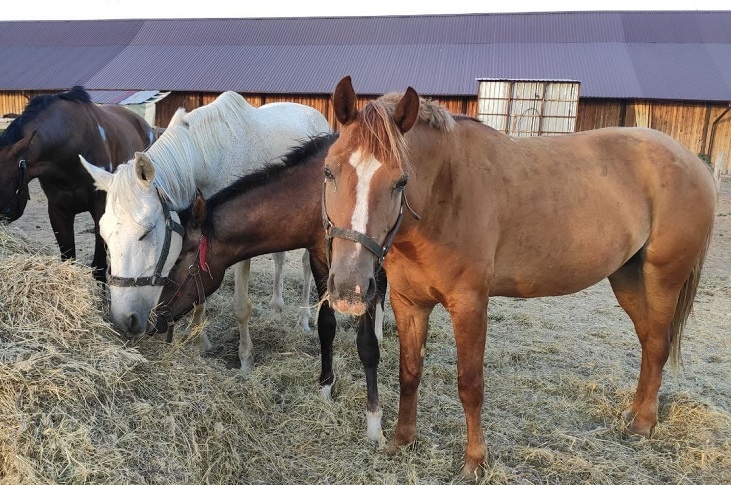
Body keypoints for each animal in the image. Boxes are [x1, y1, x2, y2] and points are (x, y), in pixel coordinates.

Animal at [81, 91, 330, 370]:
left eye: (146, 231)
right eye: (104, 236)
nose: (125, 320)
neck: (207, 161)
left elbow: (240, 306)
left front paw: (245, 359)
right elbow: (198, 293)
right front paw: (200, 342)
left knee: (306, 265)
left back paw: (303, 319)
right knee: (279, 257)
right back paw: (277, 307)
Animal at [155, 133, 392, 438]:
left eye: (177, 261)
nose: (155, 318)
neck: (313, 198)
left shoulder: (359, 273)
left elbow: (366, 343)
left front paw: (374, 422)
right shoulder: (321, 262)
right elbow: (326, 327)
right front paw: (326, 388)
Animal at [324, 76, 716, 476]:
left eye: (401, 181)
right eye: (329, 171)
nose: (349, 288)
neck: (446, 191)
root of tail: (692, 163)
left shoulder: (469, 305)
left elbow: (470, 385)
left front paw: (475, 461)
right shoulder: (409, 303)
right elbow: (409, 373)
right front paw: (402, 441)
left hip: (662, 280)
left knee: (658, 344)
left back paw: (643, 424)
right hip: (628, 279)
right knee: (649, 343)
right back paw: (635, 413)